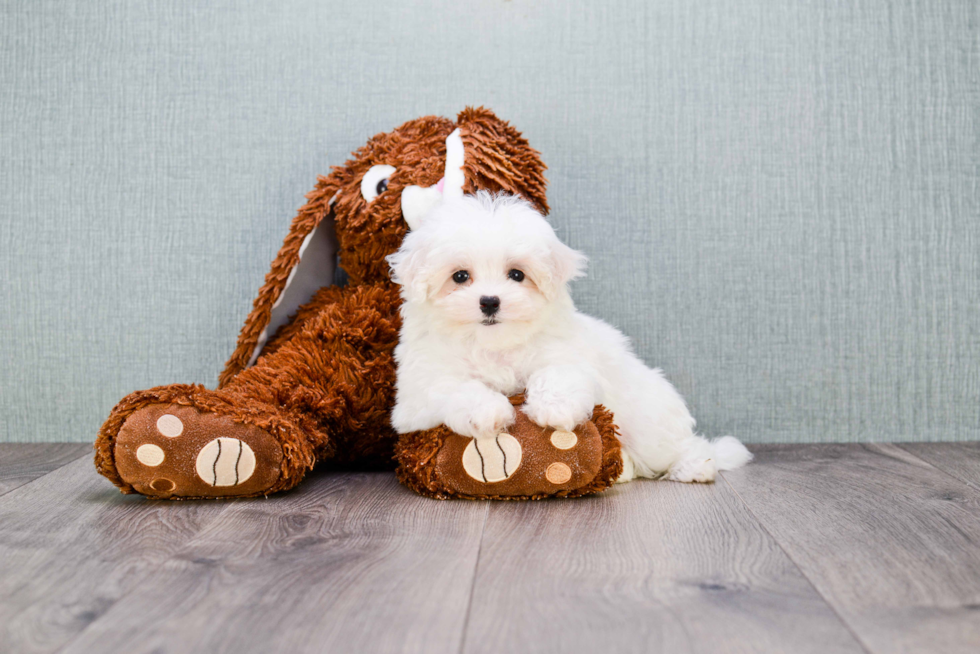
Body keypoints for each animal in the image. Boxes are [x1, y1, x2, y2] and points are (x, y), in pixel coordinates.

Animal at [384, 192, 752, 484]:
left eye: (516, 274)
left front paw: (555, 409)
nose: (489, 301)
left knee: (677, 446)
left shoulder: (566, 354)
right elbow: (457, 387)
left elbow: (558, 374)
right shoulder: (418, 391)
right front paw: (488, 412)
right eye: (460, 276)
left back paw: (696, 465)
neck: (494, 345)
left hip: (646, 420)